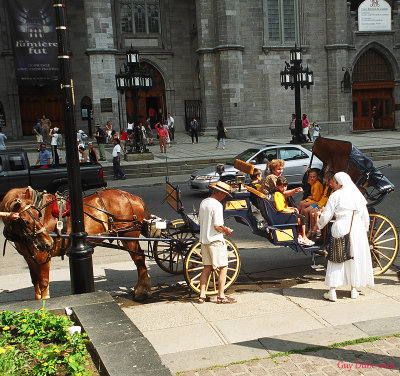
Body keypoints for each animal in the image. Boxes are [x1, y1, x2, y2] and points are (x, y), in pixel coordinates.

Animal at [0, 187, 152, 300]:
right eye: (26, 221)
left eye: (38, 215)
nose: (48, 242)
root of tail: (131, 196)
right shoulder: (30, 257)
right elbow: (35, 283)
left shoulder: (42, 256)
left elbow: (43, 283)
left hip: (129, 235)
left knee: (139, 259)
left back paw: (141, 290)